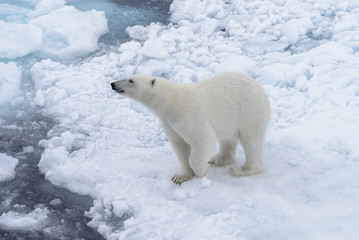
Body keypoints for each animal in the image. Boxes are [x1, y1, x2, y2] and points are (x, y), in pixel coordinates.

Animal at [111, 72, 272, 185]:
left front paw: (201, 170)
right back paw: (217, 159)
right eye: (127, 75)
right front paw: (180, 177)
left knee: (251, 140)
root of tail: (260, 88)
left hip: (249, 111)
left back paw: (242, 169)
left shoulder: (189, 116)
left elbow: (202, 139)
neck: (172, 102)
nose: (113, 84)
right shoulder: (169, 123)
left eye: (131, 80)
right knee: (227, 139)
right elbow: (179, 146)